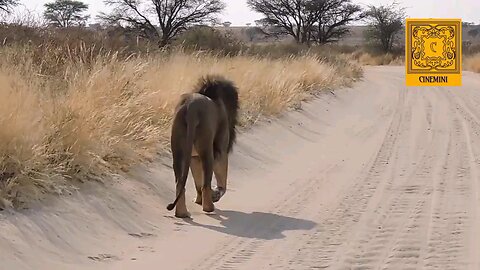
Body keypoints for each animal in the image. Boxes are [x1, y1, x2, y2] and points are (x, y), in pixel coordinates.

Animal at [166, 75, 239, 218]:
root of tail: (190, 108)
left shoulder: (194, 157)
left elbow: (197, 181)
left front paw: (198, 200)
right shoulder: (221, 149)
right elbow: (222, 180)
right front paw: (216, 194)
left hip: (178, 151)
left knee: (180, 183)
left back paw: (182, 213)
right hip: (207, 149)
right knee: (206, 183)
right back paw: (209, 207)